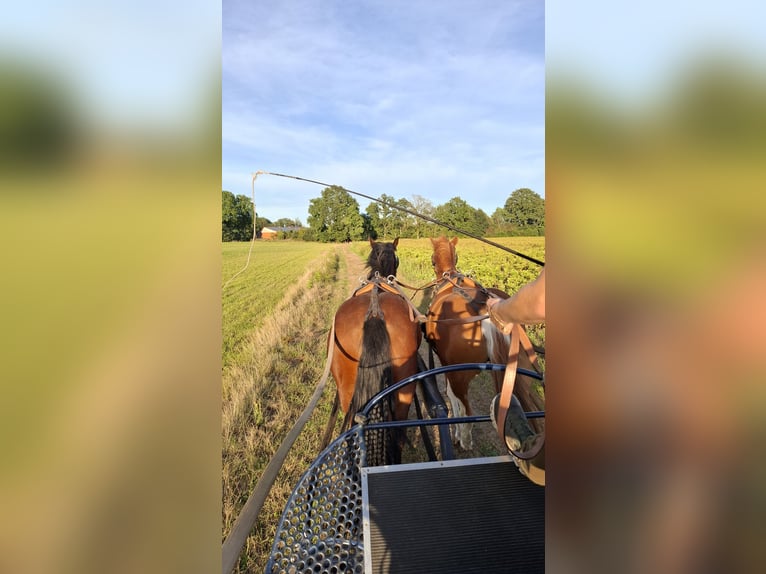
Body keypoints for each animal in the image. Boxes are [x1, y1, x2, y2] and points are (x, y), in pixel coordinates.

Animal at [425, 236, 544, 450]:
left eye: (432, 260)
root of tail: (486, 313)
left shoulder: (447, 366)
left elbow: (451, 397)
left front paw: (457, 435)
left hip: (460, 375)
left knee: (467, 412)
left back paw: (464, 438)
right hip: (521, 369)